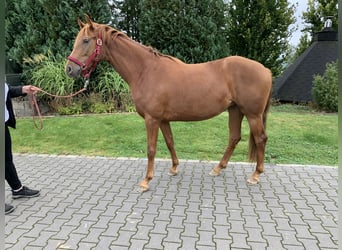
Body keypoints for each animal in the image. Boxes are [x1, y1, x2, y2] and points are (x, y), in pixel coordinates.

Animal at [65, 15, 272, 191]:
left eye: (86, 40)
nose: (69, 69)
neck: (146, 70)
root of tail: (266, 70)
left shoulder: (152, 119)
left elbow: (151, 149)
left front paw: (146, 181)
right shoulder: (163, 120)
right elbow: (170, 142)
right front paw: (174, 168)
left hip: (252, 114)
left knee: (260, 139)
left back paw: (255, 175)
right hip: (235, 110)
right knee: (234, 138)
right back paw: (218, 169)